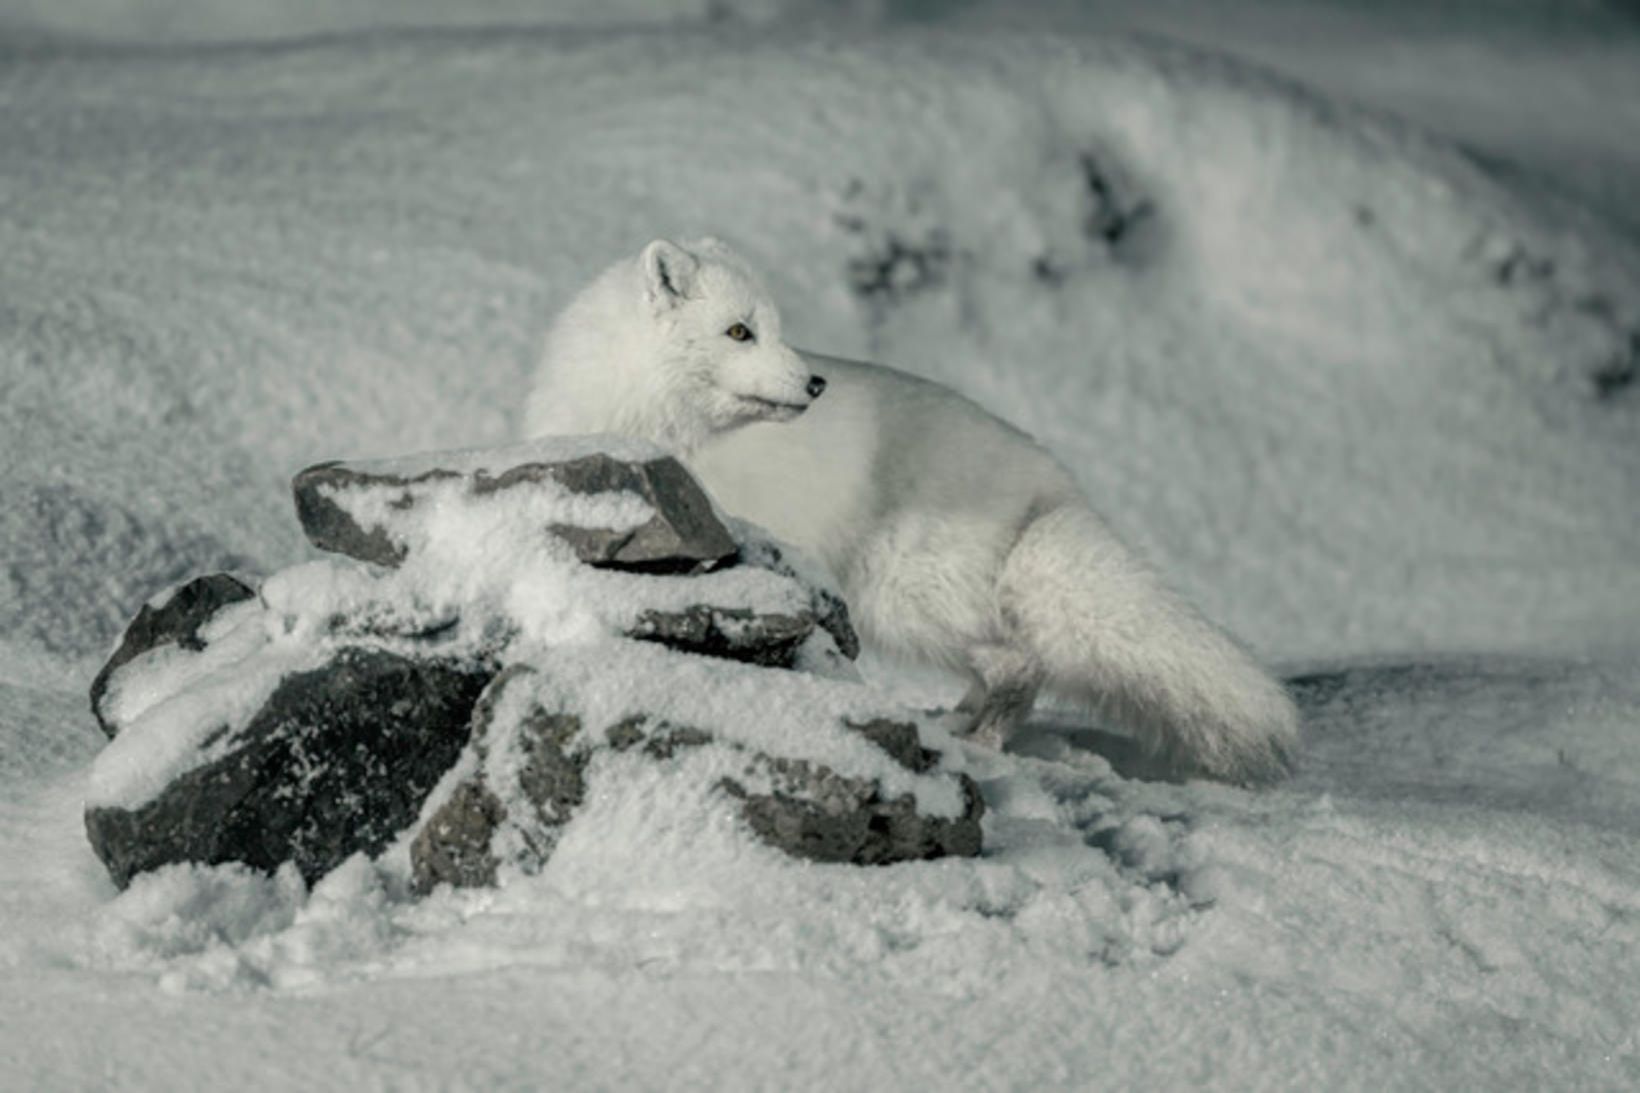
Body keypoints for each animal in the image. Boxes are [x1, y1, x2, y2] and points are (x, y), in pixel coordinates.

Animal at [524, 237, 1292, 784]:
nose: (815, 382)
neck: (651, 419)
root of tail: (1052, 480)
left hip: (903, 598)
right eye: (739, 332)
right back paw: (956, 723)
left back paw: (982, 740)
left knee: (1020, 664)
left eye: (775, 328)